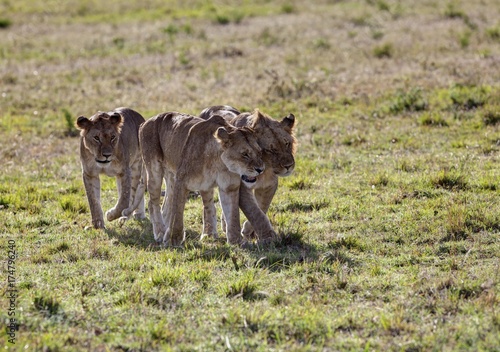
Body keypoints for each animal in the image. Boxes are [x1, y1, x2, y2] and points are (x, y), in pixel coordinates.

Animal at [138, 111, 278, 246]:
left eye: (259, 152)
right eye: (245, 154)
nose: (261, 169)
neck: (218, 162)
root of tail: (147, 121)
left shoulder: (230, 187)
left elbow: (233, 215)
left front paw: (236, 242)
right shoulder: (181, 181)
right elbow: (177, 214)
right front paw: (173, 239)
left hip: (172, 175)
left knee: (167, 205)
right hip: (154, 170)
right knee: (153, 203)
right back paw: (160, 233)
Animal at [198, 106, 294, 241]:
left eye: (287, 143)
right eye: (270, 150)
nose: (288, 166)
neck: (265, 170)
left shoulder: (269, 186)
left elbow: (262, 207)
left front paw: (250, 231)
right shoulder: (241, 187)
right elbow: (254, 211)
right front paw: (269, 237)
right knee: (207, 205)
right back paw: (209, 234)